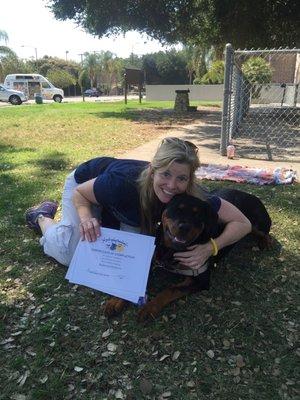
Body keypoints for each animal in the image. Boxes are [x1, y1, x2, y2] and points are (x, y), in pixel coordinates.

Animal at [105, 188, 272, 322]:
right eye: (177, 209)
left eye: (198, 215)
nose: (184, 227)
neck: (171, 251)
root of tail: (251, 195)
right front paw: (116, 300)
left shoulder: (201, 279)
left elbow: (171, 289)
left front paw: (149, 308)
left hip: (254, 223)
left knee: (263, 232)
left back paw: (265, 243)